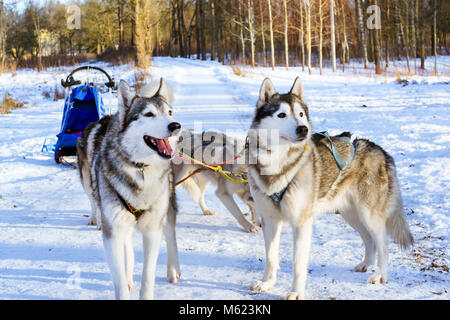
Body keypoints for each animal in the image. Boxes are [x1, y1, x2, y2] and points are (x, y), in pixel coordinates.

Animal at [77, 79, 181, 298]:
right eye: (148, 114)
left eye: (169, 112)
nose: (176, 125)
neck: (140, 168)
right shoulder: (113, 233)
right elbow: (120, 280)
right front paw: (126, 281)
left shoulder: (152, 230)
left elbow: (148, 277)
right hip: (90, 186)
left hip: (166, 207)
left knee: (170, 235)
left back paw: (172, 270)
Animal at [248, 77, 414, 300]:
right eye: (281, 115)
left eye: (300, 114)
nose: (303, 129)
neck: (279, 163)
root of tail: (379, 149)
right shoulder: (270, 221)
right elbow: (271, 257)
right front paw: (267, 283)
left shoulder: (301, 224)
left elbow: (298, 265)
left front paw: (296, 292)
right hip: (351, 215)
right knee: (369, 240)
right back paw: (365, 264)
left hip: (369, 215)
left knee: (383, 245)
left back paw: (380, 275)